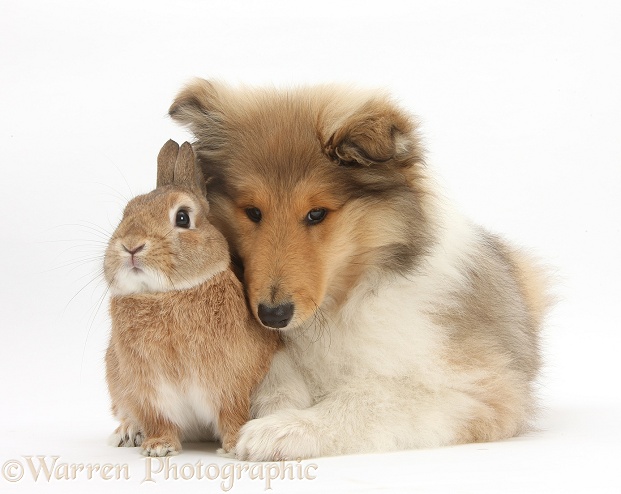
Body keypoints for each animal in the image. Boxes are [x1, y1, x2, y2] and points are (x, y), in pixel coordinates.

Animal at [104, 139, 280, 456]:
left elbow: (231, 413)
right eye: (126, 212)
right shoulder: (149, 391)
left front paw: (233, 445)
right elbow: (159, 420)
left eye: (183, 217)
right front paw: (158, 447)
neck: (168, 294)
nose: (131, 245)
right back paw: (127, 433)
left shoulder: (230, 383)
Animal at [168, 79, 548, 462]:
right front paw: (273, 412)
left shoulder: (477, 389)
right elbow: (273, 379)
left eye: (317, 213)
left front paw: (282, 430)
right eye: (253, 212)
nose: (273, 316)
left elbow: (368, 398)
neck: (335, 306)